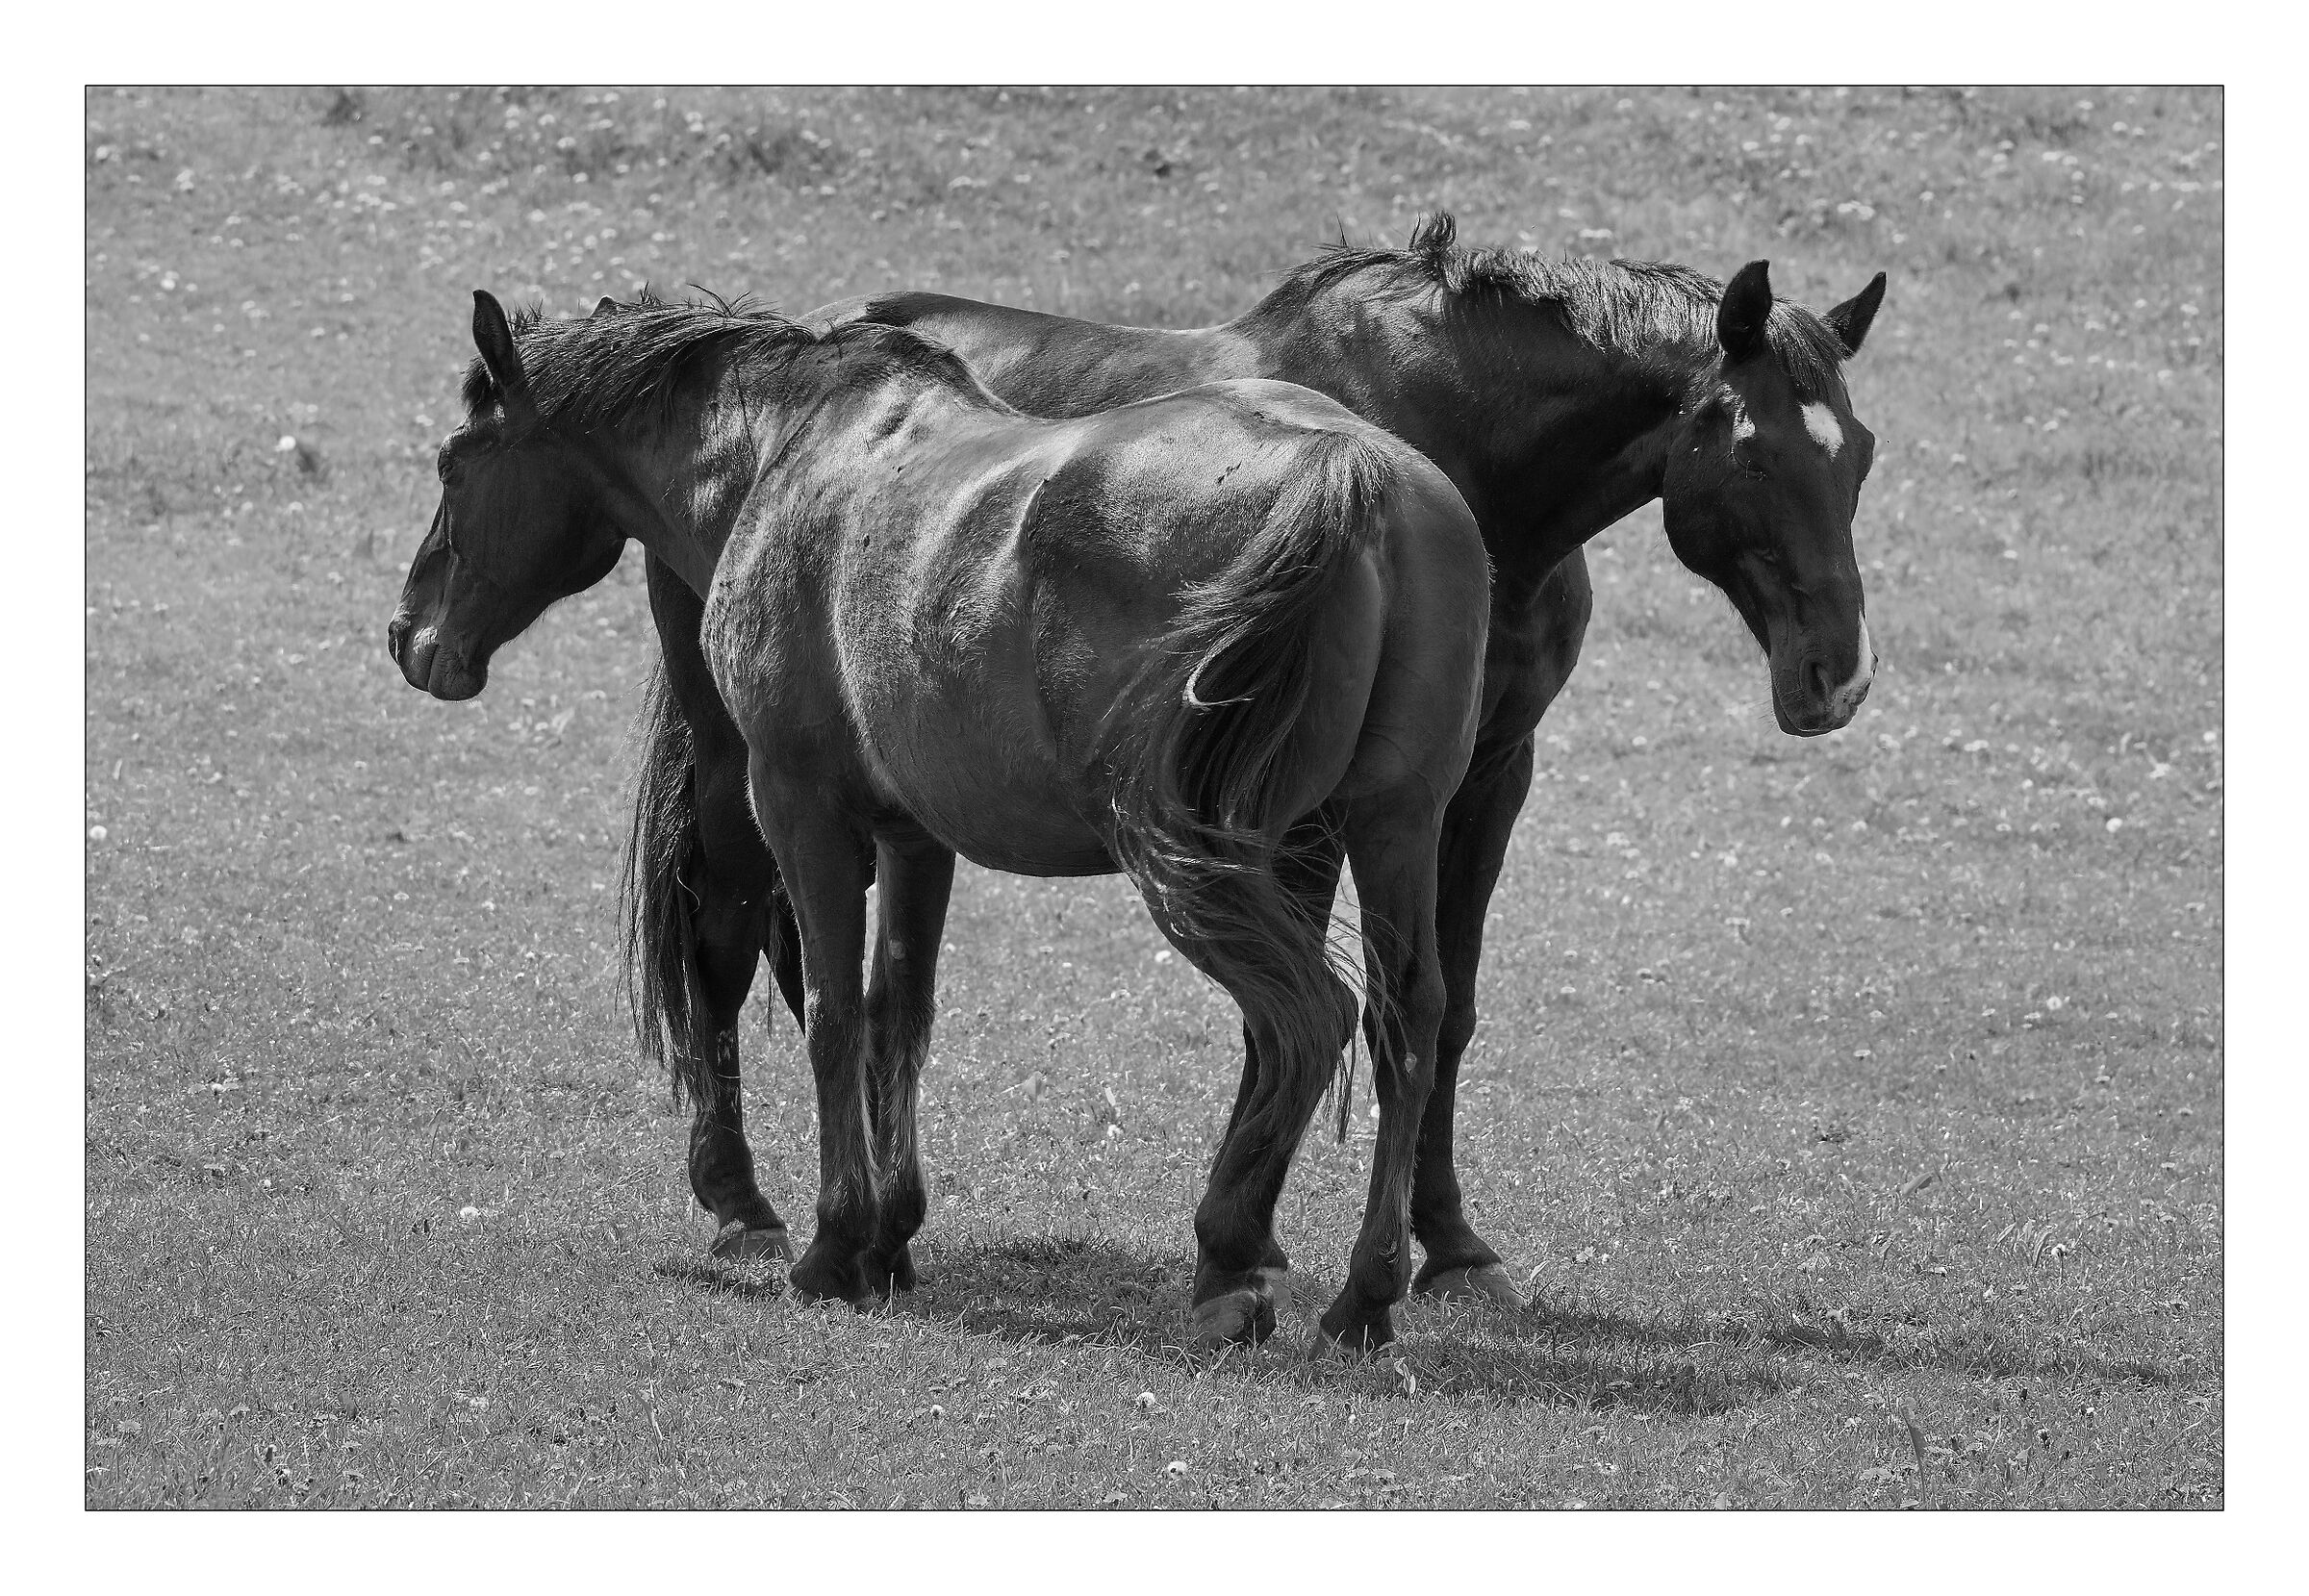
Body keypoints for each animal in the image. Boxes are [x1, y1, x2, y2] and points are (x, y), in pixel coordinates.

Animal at [389, 289, 1492, 1351]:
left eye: (454, 462)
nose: (410, 634)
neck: (789, 452)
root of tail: (1355, 475)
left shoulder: (800, 809)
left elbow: (835, 1013)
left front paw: (836, 1247)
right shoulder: (915, 838)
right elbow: (899, 1016)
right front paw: (889, 1237)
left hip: (1232, 856)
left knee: (1306, 1018)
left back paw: (1233, 1265)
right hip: (1389, 828)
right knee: (1403, 1019)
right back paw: (1363, 1295)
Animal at [622, 214, 1888, 1324]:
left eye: (1862, 454)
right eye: (1752, 448)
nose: (1836, 677)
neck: (1447, 436)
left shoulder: (1483, 779)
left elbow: (1440, 1007)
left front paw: (1448, 1247)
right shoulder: (1303, 811)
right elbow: (1299, 1007)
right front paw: (1258, 1243)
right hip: (747, 758)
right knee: (722, 931)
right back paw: (745, 1209)